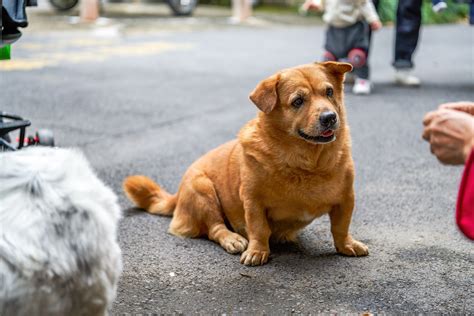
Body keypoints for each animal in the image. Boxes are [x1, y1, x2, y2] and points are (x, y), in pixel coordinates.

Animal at [125, 61, 370, 264]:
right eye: (298, 101)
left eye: (329, 92)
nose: (330, 117)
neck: (308, 163)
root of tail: (177, 195)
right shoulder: (253, 201)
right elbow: (259, 229)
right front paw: (258, 251)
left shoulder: (346, 199)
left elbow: (340, 228)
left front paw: (346, 246)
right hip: (203, 191)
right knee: (215, 229)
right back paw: (232, 239)